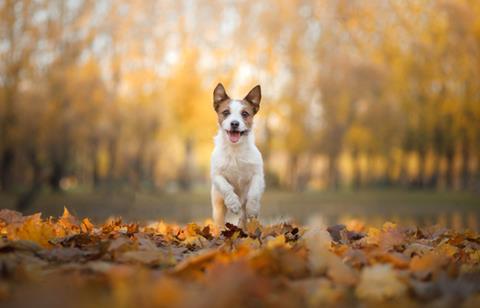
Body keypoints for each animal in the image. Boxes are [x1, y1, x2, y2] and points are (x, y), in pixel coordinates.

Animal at [209, 83, 264, 227]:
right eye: (226, 112)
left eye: (244, 114)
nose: (234, 123)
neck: (235, 149)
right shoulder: (217, 175)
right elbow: (226, 187)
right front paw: (233, 203)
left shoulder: (258, 175)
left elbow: (254, 192)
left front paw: (252, 208)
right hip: (218, 210)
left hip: (245, 218)